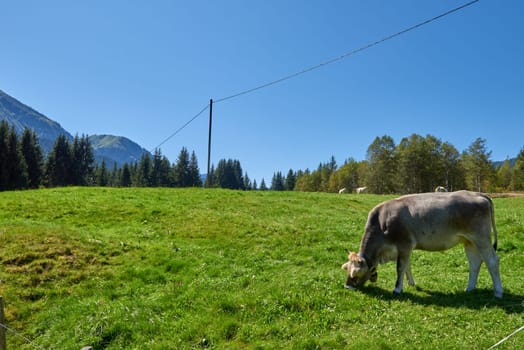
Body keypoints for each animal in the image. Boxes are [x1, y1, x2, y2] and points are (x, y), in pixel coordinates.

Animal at [340, 191, 504, 298]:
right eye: (346, 269)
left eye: (355, 273)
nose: (347, 286)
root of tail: (479, 194)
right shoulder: (405, 248)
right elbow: (407, 266)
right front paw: (411, 283)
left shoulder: (404, 244)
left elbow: (400, 268)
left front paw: (397, 289)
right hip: (469, 241)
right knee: (475, 263)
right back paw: (469, 289)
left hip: (481, 238)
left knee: (492, 261)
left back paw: (498, 292)